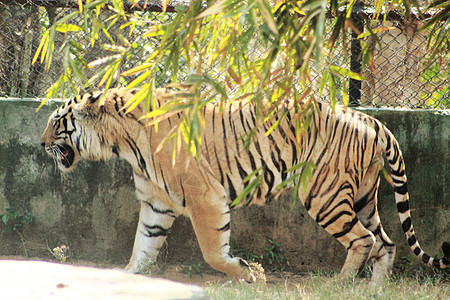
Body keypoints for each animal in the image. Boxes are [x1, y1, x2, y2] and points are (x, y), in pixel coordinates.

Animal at [40, 87, 448, 286]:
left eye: (57, 122)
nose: (40, 144)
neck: (121, 142)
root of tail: (374, 121)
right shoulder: (157, 204)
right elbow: (142, 248)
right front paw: (127, 279)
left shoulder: (205, 196)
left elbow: (213, 253)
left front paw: (250, 274)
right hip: (363, 197)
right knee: (387, 243)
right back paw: (372, 290)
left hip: (324, 195)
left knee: (364, 240)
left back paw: (340, 286)